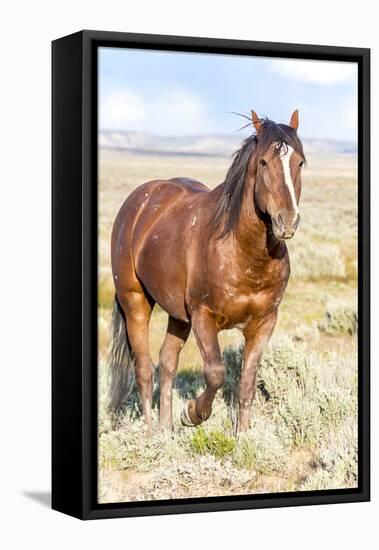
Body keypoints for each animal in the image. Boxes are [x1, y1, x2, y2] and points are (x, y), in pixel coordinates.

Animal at [107, 109, 306, 436]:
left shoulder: (264, 322)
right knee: (145, 369)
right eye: (264, 162)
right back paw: (150, 433)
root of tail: (140, 200)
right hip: (135, 302)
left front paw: (243, 436)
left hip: (177, 316)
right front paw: (192, 413)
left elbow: (247, 383)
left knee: (167, 362)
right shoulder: (203, 316)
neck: (244, 254)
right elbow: (215, 373)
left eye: (299, 162)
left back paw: (165, 430)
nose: (286, 221)